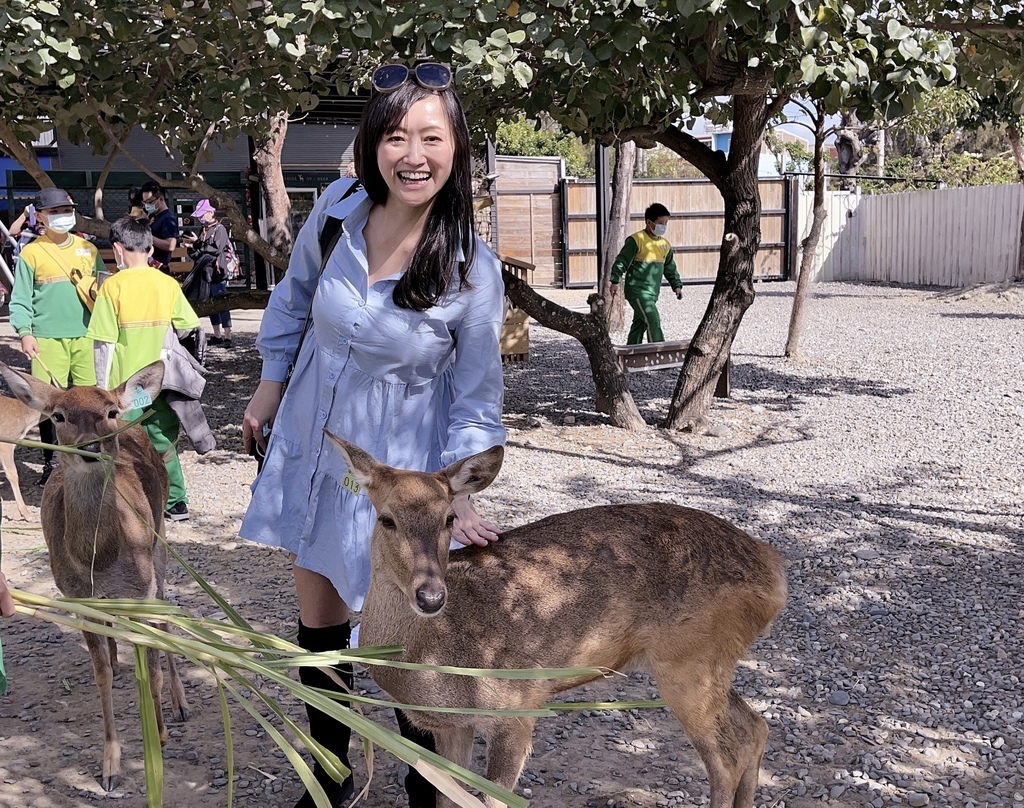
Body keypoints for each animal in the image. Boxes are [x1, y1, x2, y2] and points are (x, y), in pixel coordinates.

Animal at [0, 362, 190, 790]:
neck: (100, 561)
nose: (89, 448)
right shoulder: (77, 598)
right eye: (58, 416)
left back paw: (180, 703)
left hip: (159, 541)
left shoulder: (141, 590)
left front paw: (160, 735)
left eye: (110, 411)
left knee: (168, 609)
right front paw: (110, 768)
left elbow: (152, 669)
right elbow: (100, 674)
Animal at [323, 434, 786, 806]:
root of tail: (775, 573)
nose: (431, 595)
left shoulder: (517, 704)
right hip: (711, 661)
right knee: (755, 727)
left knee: (726, 757)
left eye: (449, 518)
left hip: (690, 660)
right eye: (387, 518)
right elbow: (448, 800)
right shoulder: (451, 725)